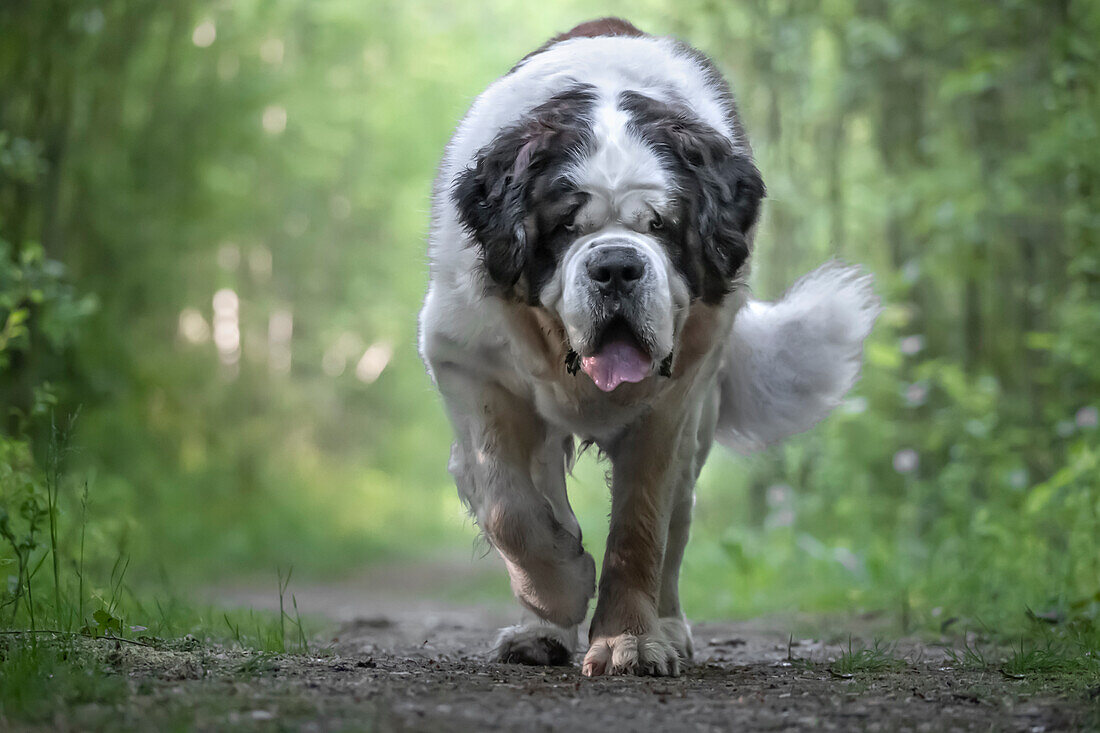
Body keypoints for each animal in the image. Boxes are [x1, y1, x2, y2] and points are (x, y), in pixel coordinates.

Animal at [415, 17, 880, 677]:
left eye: (660, 225)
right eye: (566, 226)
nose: (615, 265)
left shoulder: (673, 401)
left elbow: (641, 529)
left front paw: (629, 642)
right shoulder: (465, 361)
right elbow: (509, 506)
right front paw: (561, 588)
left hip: (699, 424)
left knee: (677, 521)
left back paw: (669, 627)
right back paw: (540, 632)